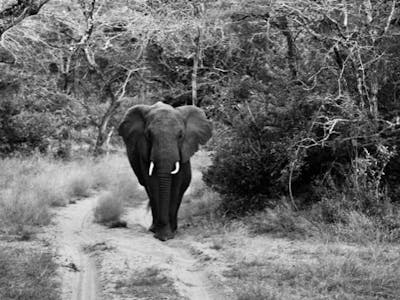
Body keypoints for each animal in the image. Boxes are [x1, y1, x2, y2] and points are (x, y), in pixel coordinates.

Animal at [118, 102, 212, 240]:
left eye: (180, 135)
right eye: (149, 135)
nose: (163, 237)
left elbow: (176, 184)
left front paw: (169, 234)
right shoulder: (144, 150)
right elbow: (152, 183)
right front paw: (161, 233)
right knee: (148, 190)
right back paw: (153, 228)